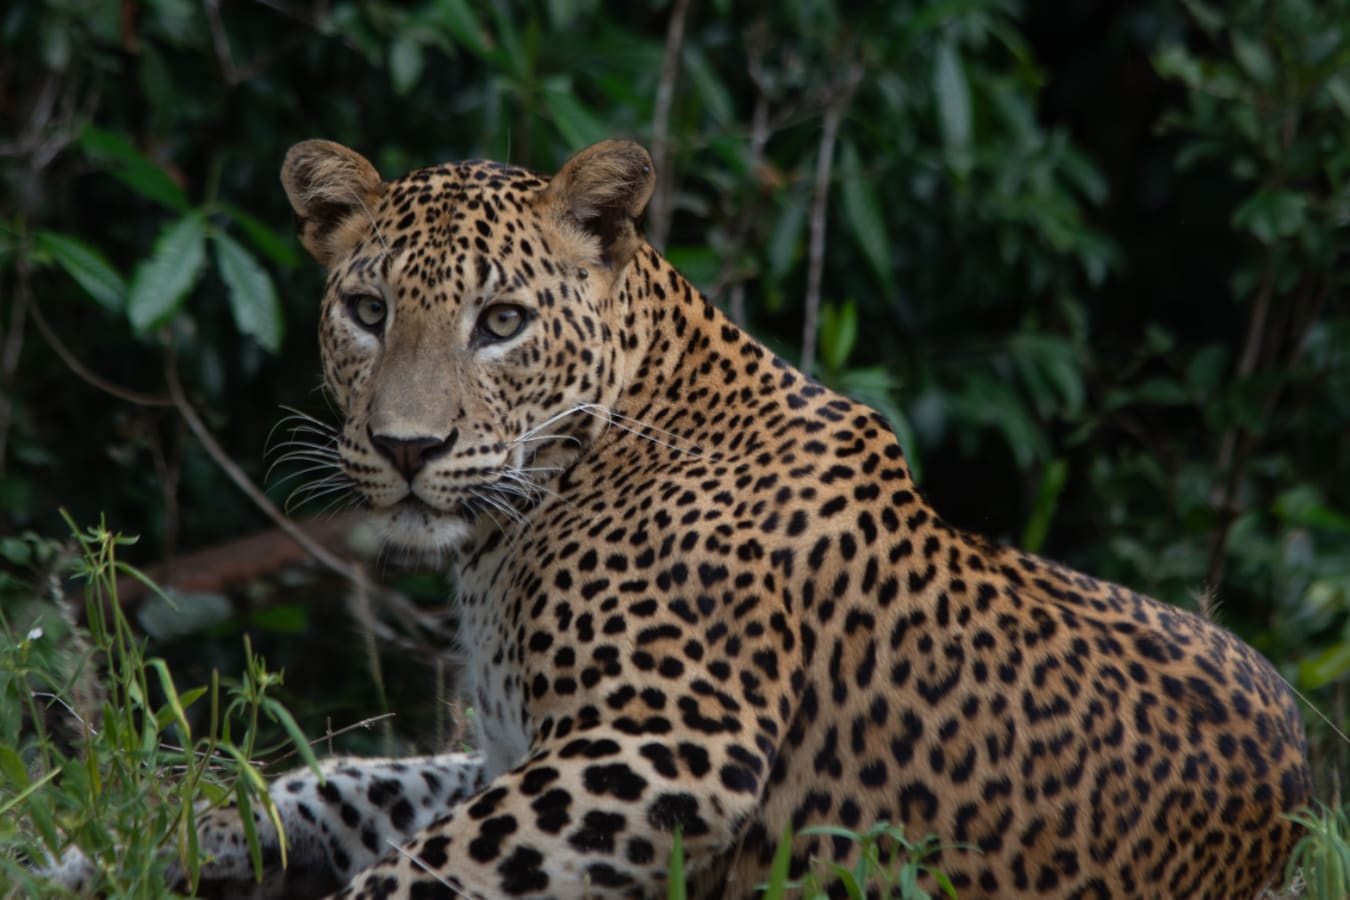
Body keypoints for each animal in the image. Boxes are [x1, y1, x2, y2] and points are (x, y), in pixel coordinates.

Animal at [48, 138, 1313, 899]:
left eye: (500, 322)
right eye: (366, 311)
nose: (409, 450)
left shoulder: (667, 739)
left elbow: (418, 870)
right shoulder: (513, 744)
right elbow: (336, 785)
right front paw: (122, 843)